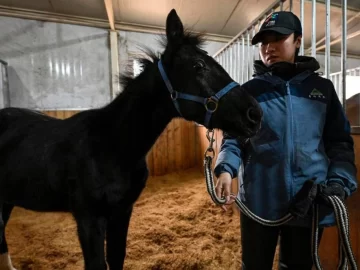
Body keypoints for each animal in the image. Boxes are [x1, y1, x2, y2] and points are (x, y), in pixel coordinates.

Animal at [0, 8, 262, 270]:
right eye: (198, 65)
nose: (255, 114)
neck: (112, 145)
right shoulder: (89, 220)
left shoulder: (122, 212)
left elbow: (117, 256)